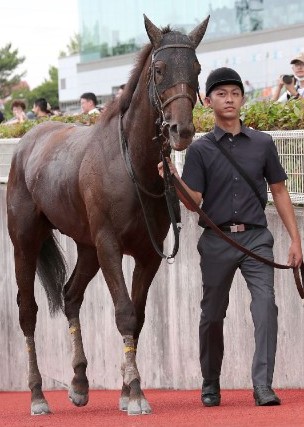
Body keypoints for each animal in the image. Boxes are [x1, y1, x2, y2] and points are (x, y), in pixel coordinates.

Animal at [5, 15, 209, 416]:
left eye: (196, 68)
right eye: (159, 69)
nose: (181, 130)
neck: (132, 166)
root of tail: (28, 141)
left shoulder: (147, 252)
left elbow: (139, 317)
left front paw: (127, 389)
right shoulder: (109, 245)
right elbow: (125, 312)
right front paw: (137, 393)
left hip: (86, 247)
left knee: (70, 295)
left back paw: (79, 383)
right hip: (26, 240)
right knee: (27, 310)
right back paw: (37, 395)